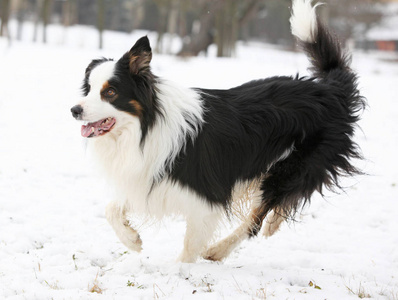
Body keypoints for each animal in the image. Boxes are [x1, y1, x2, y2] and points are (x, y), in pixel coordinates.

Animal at [71, 0, 364, 262]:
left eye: (110, 92)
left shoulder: (206, 195)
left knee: (256, 219)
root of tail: (329, 89)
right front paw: (132, 240)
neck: (144, 127)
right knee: (275, 207)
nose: (74, 110)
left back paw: (219, 250)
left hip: (291, 168)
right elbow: (111, 208)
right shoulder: (149, 177)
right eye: (88, 89)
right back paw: (272, 225)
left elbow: (191, 244)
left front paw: (179, 272)